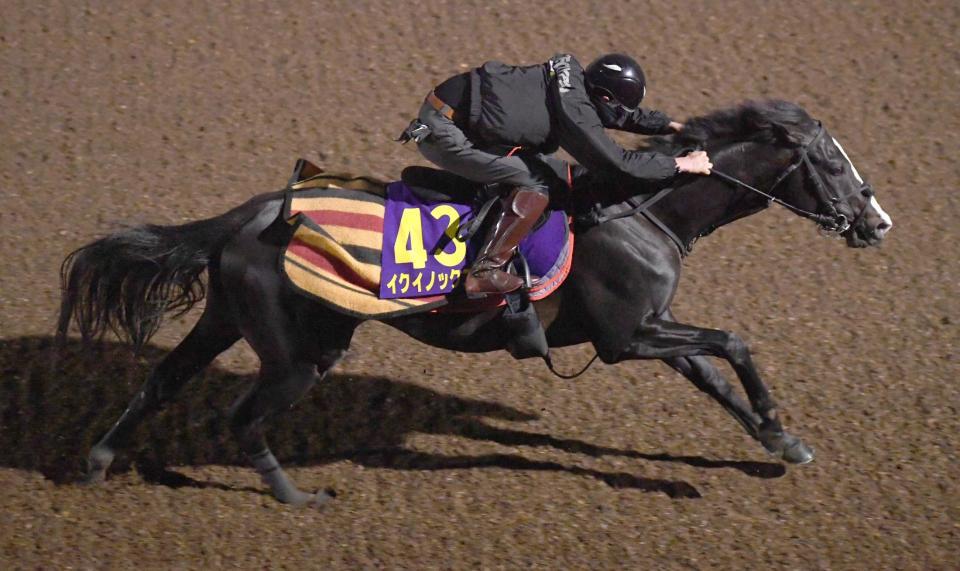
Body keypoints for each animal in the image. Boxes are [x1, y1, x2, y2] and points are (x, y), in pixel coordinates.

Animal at [58, 100, 892, 508]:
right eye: (829, 162)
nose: (878, 221)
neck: (641, 207)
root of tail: (248, 213)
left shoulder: (649, 325)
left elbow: (716, 372)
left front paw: (779, 439)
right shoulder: (627, 336)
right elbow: (733, 341)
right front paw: (774, 431)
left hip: (228, 317)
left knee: (161, 380)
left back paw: (97, 461)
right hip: (302, 349)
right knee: (242, 415)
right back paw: (297, 495)